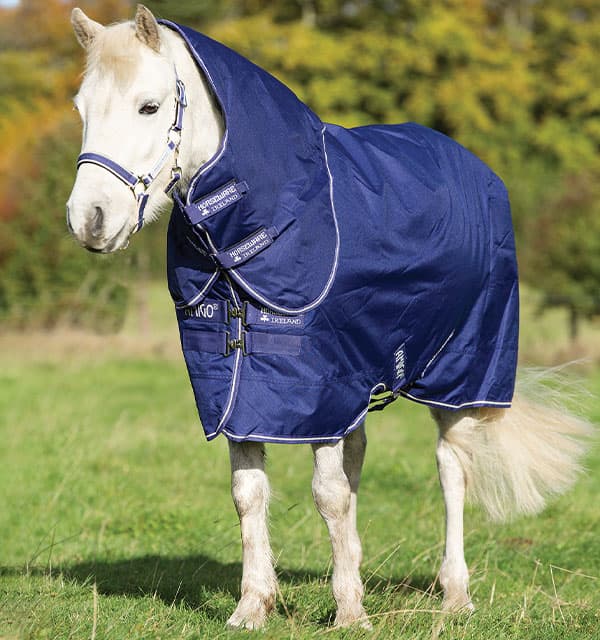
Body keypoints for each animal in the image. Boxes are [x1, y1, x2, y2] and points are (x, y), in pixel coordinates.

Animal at [67, 5, 591, 630]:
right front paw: (253, 606)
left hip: (460, 373)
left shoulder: (318, 391)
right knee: (360, 460)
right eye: (81, 108)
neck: (256, 230)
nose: (89, 220)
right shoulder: (242, 393)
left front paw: (350, 616)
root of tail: (476, 168)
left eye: (149, 106)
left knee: (451, 467)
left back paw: (455, 595)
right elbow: (251, 492)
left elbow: (328, 494)